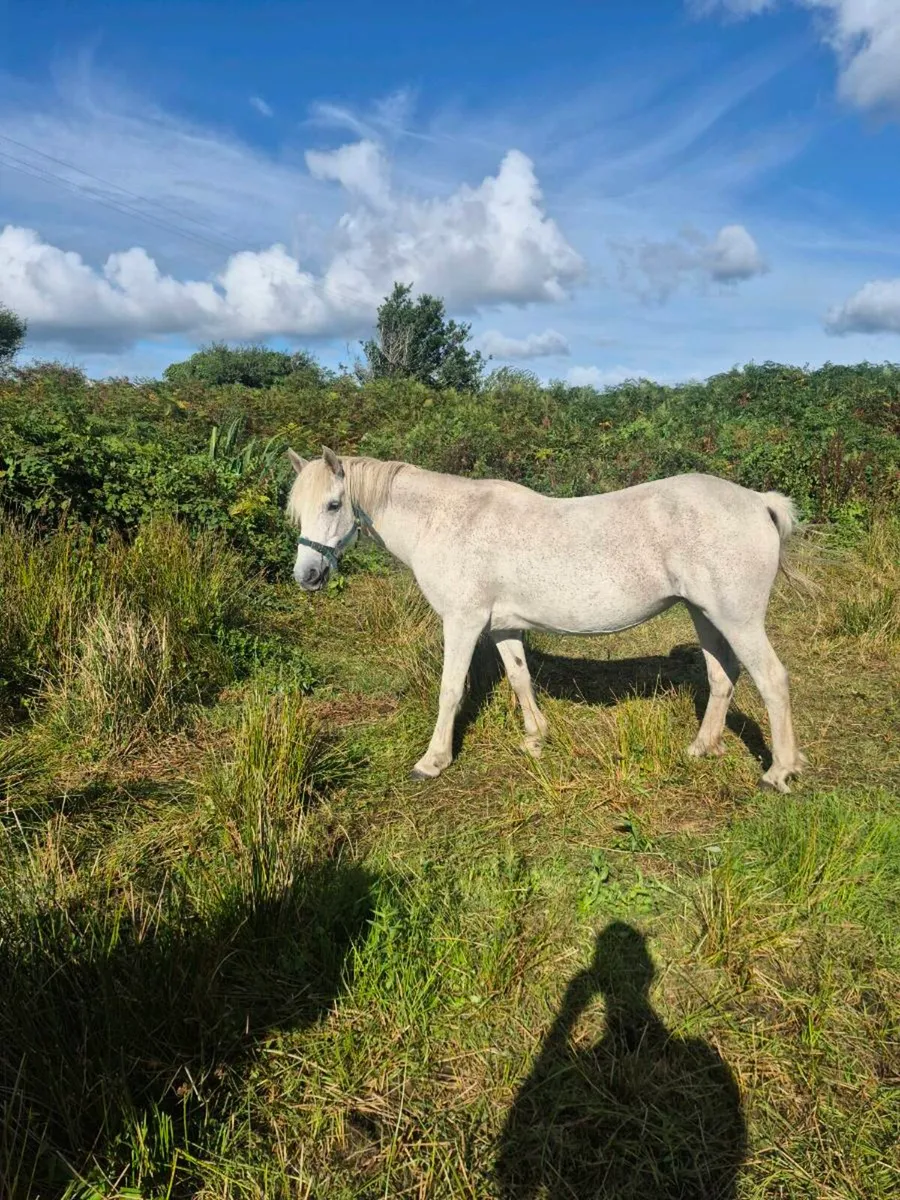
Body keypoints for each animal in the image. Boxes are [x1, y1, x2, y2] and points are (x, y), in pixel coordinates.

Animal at [286, 447, 808, 793]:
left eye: (333, 504)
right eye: (298, 510)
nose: (306, 576)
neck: (447, 520)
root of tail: (758, 501)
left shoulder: (462, 621)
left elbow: (450, 690)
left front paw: (433, 761)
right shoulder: (502, 625)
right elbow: (520, 677)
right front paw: (536, 739)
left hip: (738, 619)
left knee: (772, 680)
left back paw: (778, 772)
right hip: (705, 614)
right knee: (722, 676)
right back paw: (702, 747)